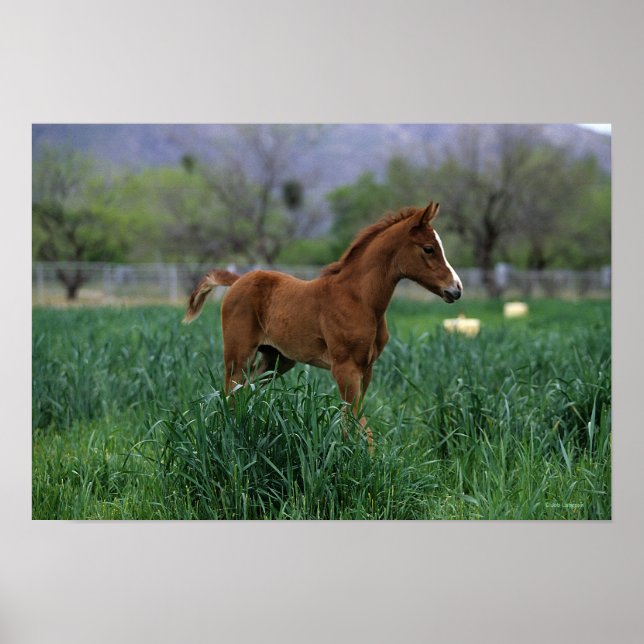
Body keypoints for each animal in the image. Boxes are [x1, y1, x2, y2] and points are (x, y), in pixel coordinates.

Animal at [183, 201, 462, 447]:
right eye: (429, 249)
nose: (456, 289)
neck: (360, 299)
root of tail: (238, 280)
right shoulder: (344, 367)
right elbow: (357, 422)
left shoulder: (366, 368)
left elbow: (354, 420)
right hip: (237, 354)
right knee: (230, 394)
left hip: (276, 359)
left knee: (245, 391)